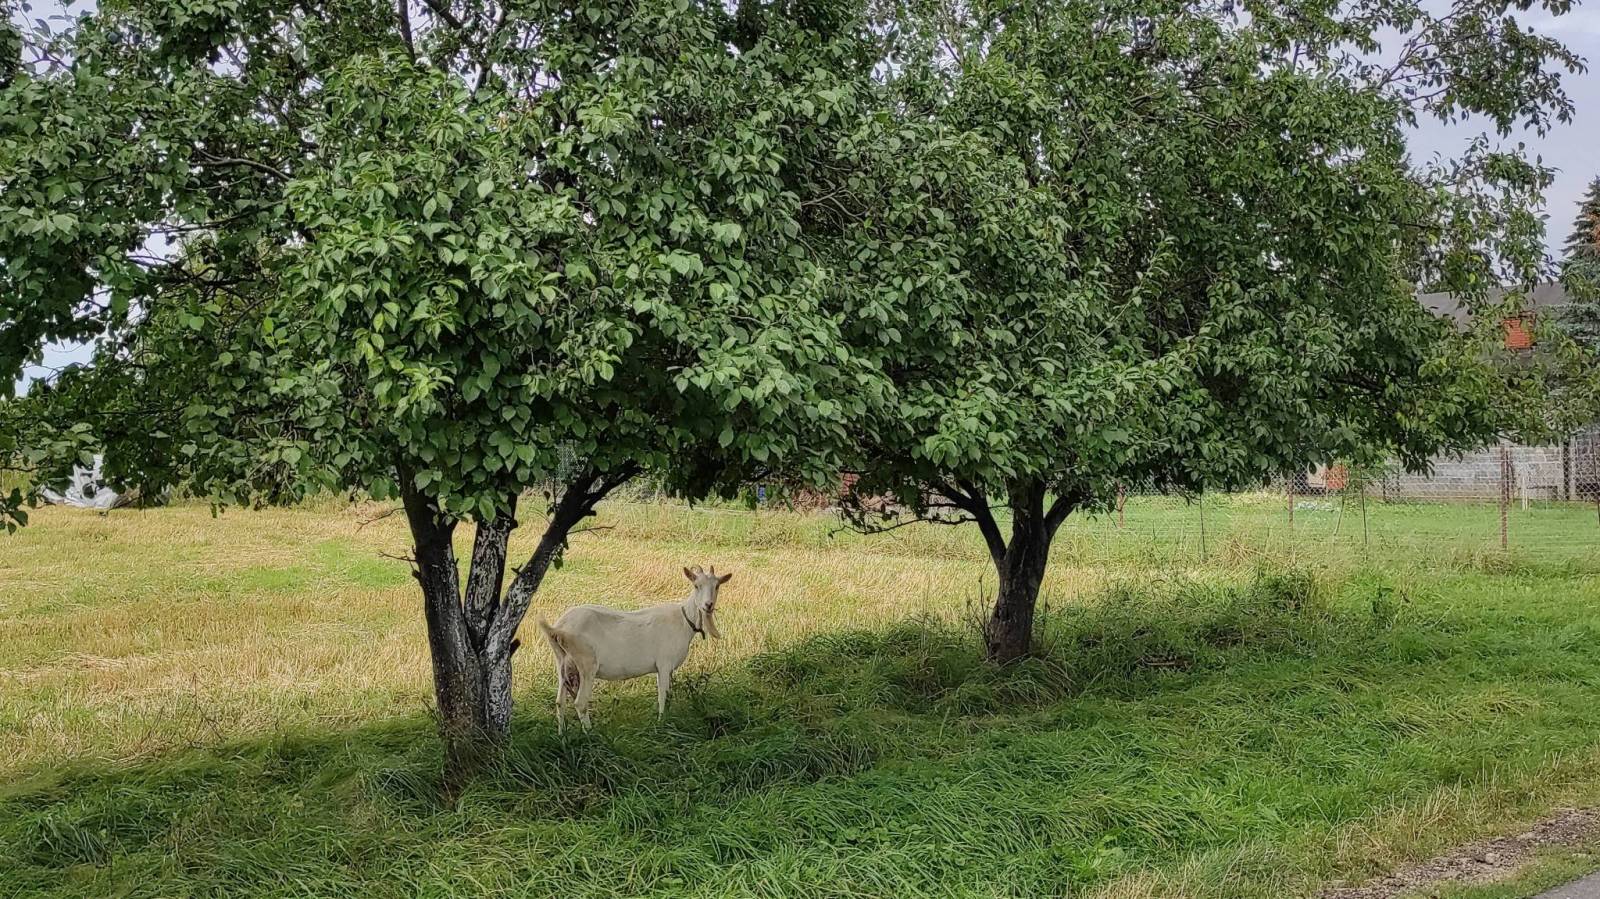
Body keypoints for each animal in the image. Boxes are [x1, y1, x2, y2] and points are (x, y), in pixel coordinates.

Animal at [537, 564, 731, 732]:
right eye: (697, 586)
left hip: (562, 661)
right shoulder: (664, 664)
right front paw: (661, 723)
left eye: (717, 586)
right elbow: (663, 695)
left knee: (560, 702)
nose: (708, 605)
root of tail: (558, 628)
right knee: (580, 702)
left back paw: (562, 735)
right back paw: (590, 734)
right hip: (586, 662)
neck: (683, 619)